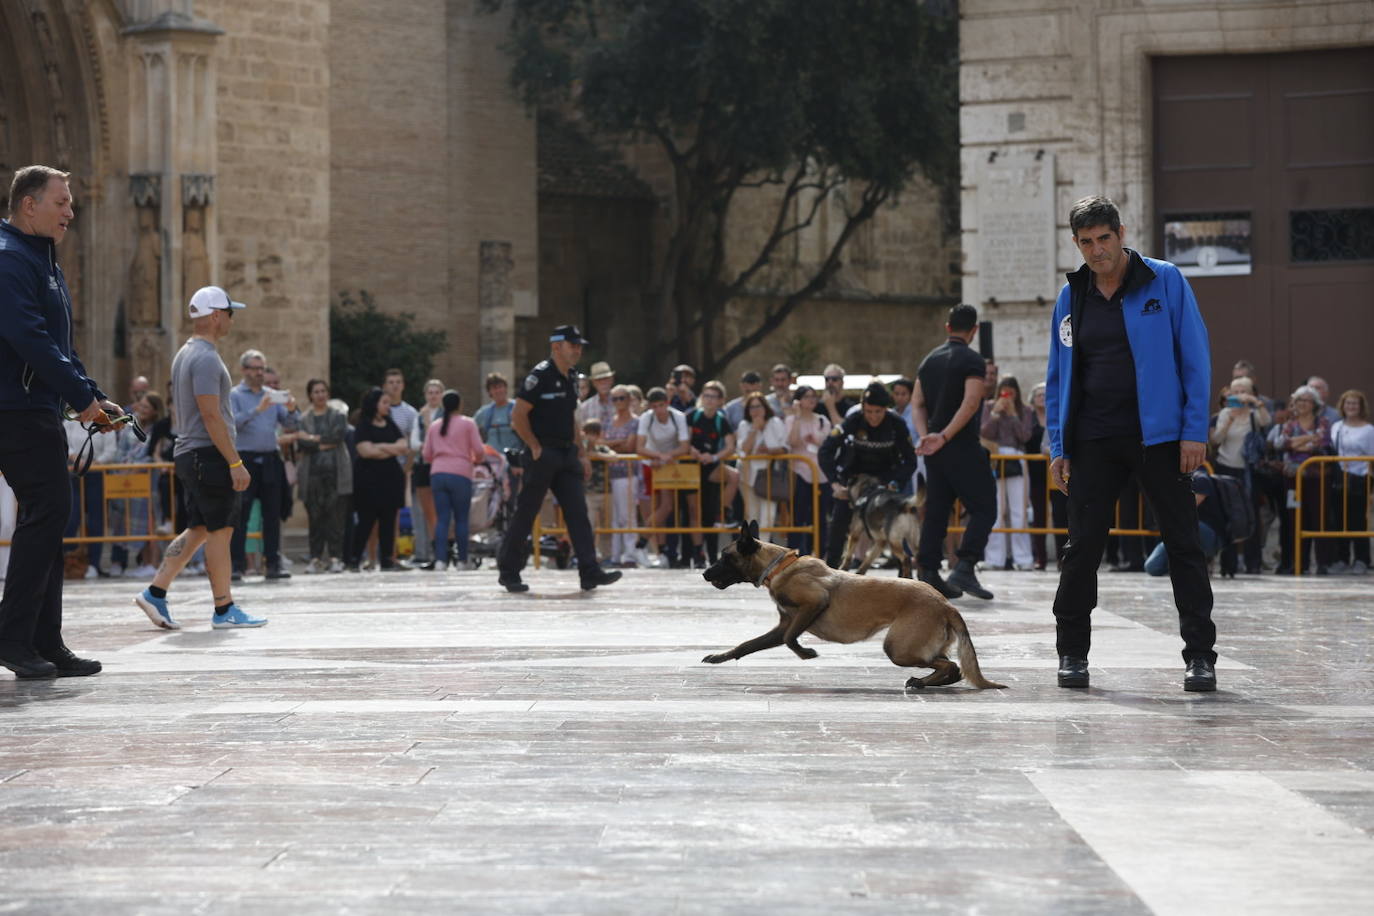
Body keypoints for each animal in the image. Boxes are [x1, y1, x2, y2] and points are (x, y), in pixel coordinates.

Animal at [703, 521, 1005, 686]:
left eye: (724, 557)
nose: (705, 573)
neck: (779, 566)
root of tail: (945, 604)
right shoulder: (784, 624)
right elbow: (747, 645)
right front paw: (719, 656)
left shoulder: (813, 604)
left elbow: (791, 639)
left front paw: (806, 653)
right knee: (952, 668)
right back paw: (926, 683)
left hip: (898, 648)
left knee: (949, 666)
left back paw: (921, 682)